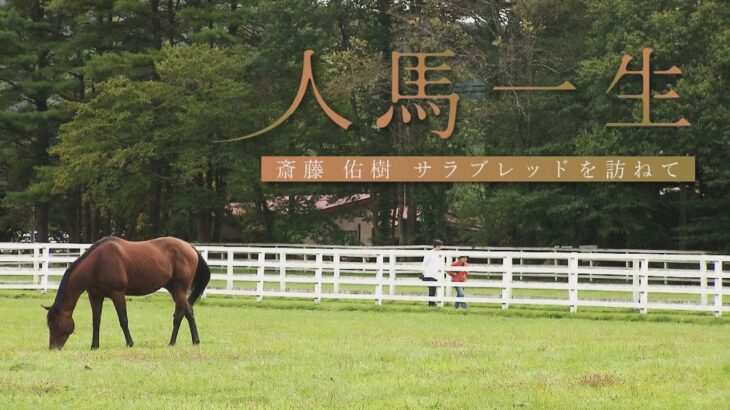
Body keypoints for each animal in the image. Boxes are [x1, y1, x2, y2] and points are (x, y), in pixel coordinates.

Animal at [44, 237, 210, 350]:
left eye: (55, 323)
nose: (53, 348)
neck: (97, 263)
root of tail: (190, 247)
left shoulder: (117, 294)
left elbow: (123, 320)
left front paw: (130, 343)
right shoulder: (95, 296)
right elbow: (96, 322)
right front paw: (94, 345)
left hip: (180, 289)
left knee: (183, 313)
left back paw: (182, 341)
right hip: (174, 289)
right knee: (186, 312)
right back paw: (186, 341)